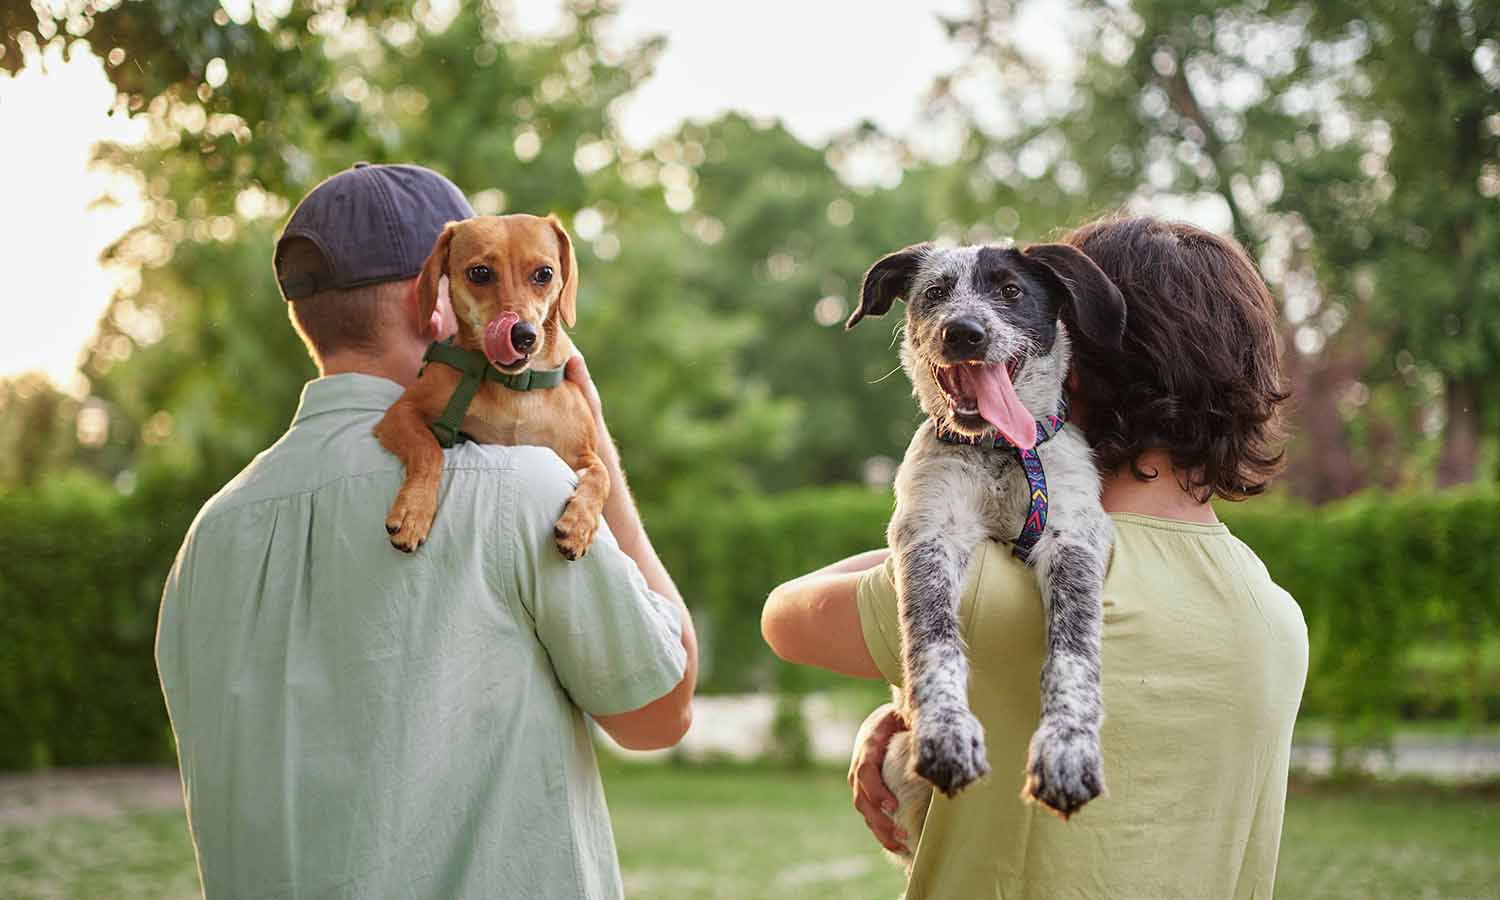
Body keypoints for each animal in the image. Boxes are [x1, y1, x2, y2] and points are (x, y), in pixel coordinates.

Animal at [372, 214, 606, 558]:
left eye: (544, 273)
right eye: (480, 273)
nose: (522, 335)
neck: (514, 387)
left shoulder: (581, 452)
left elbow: (603, 476)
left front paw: (579, 525)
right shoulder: (400, 413)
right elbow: (428, 450)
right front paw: (414, 511)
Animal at [852, 238, 1122, 858]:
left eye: (1011, 291)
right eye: (934, 292)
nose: (964, 333)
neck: (998, 451)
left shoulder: (1072, 539)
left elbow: (1074, 654)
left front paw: (1068, 750)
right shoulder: (928, 535)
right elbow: (934, 643)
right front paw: (947, 733)